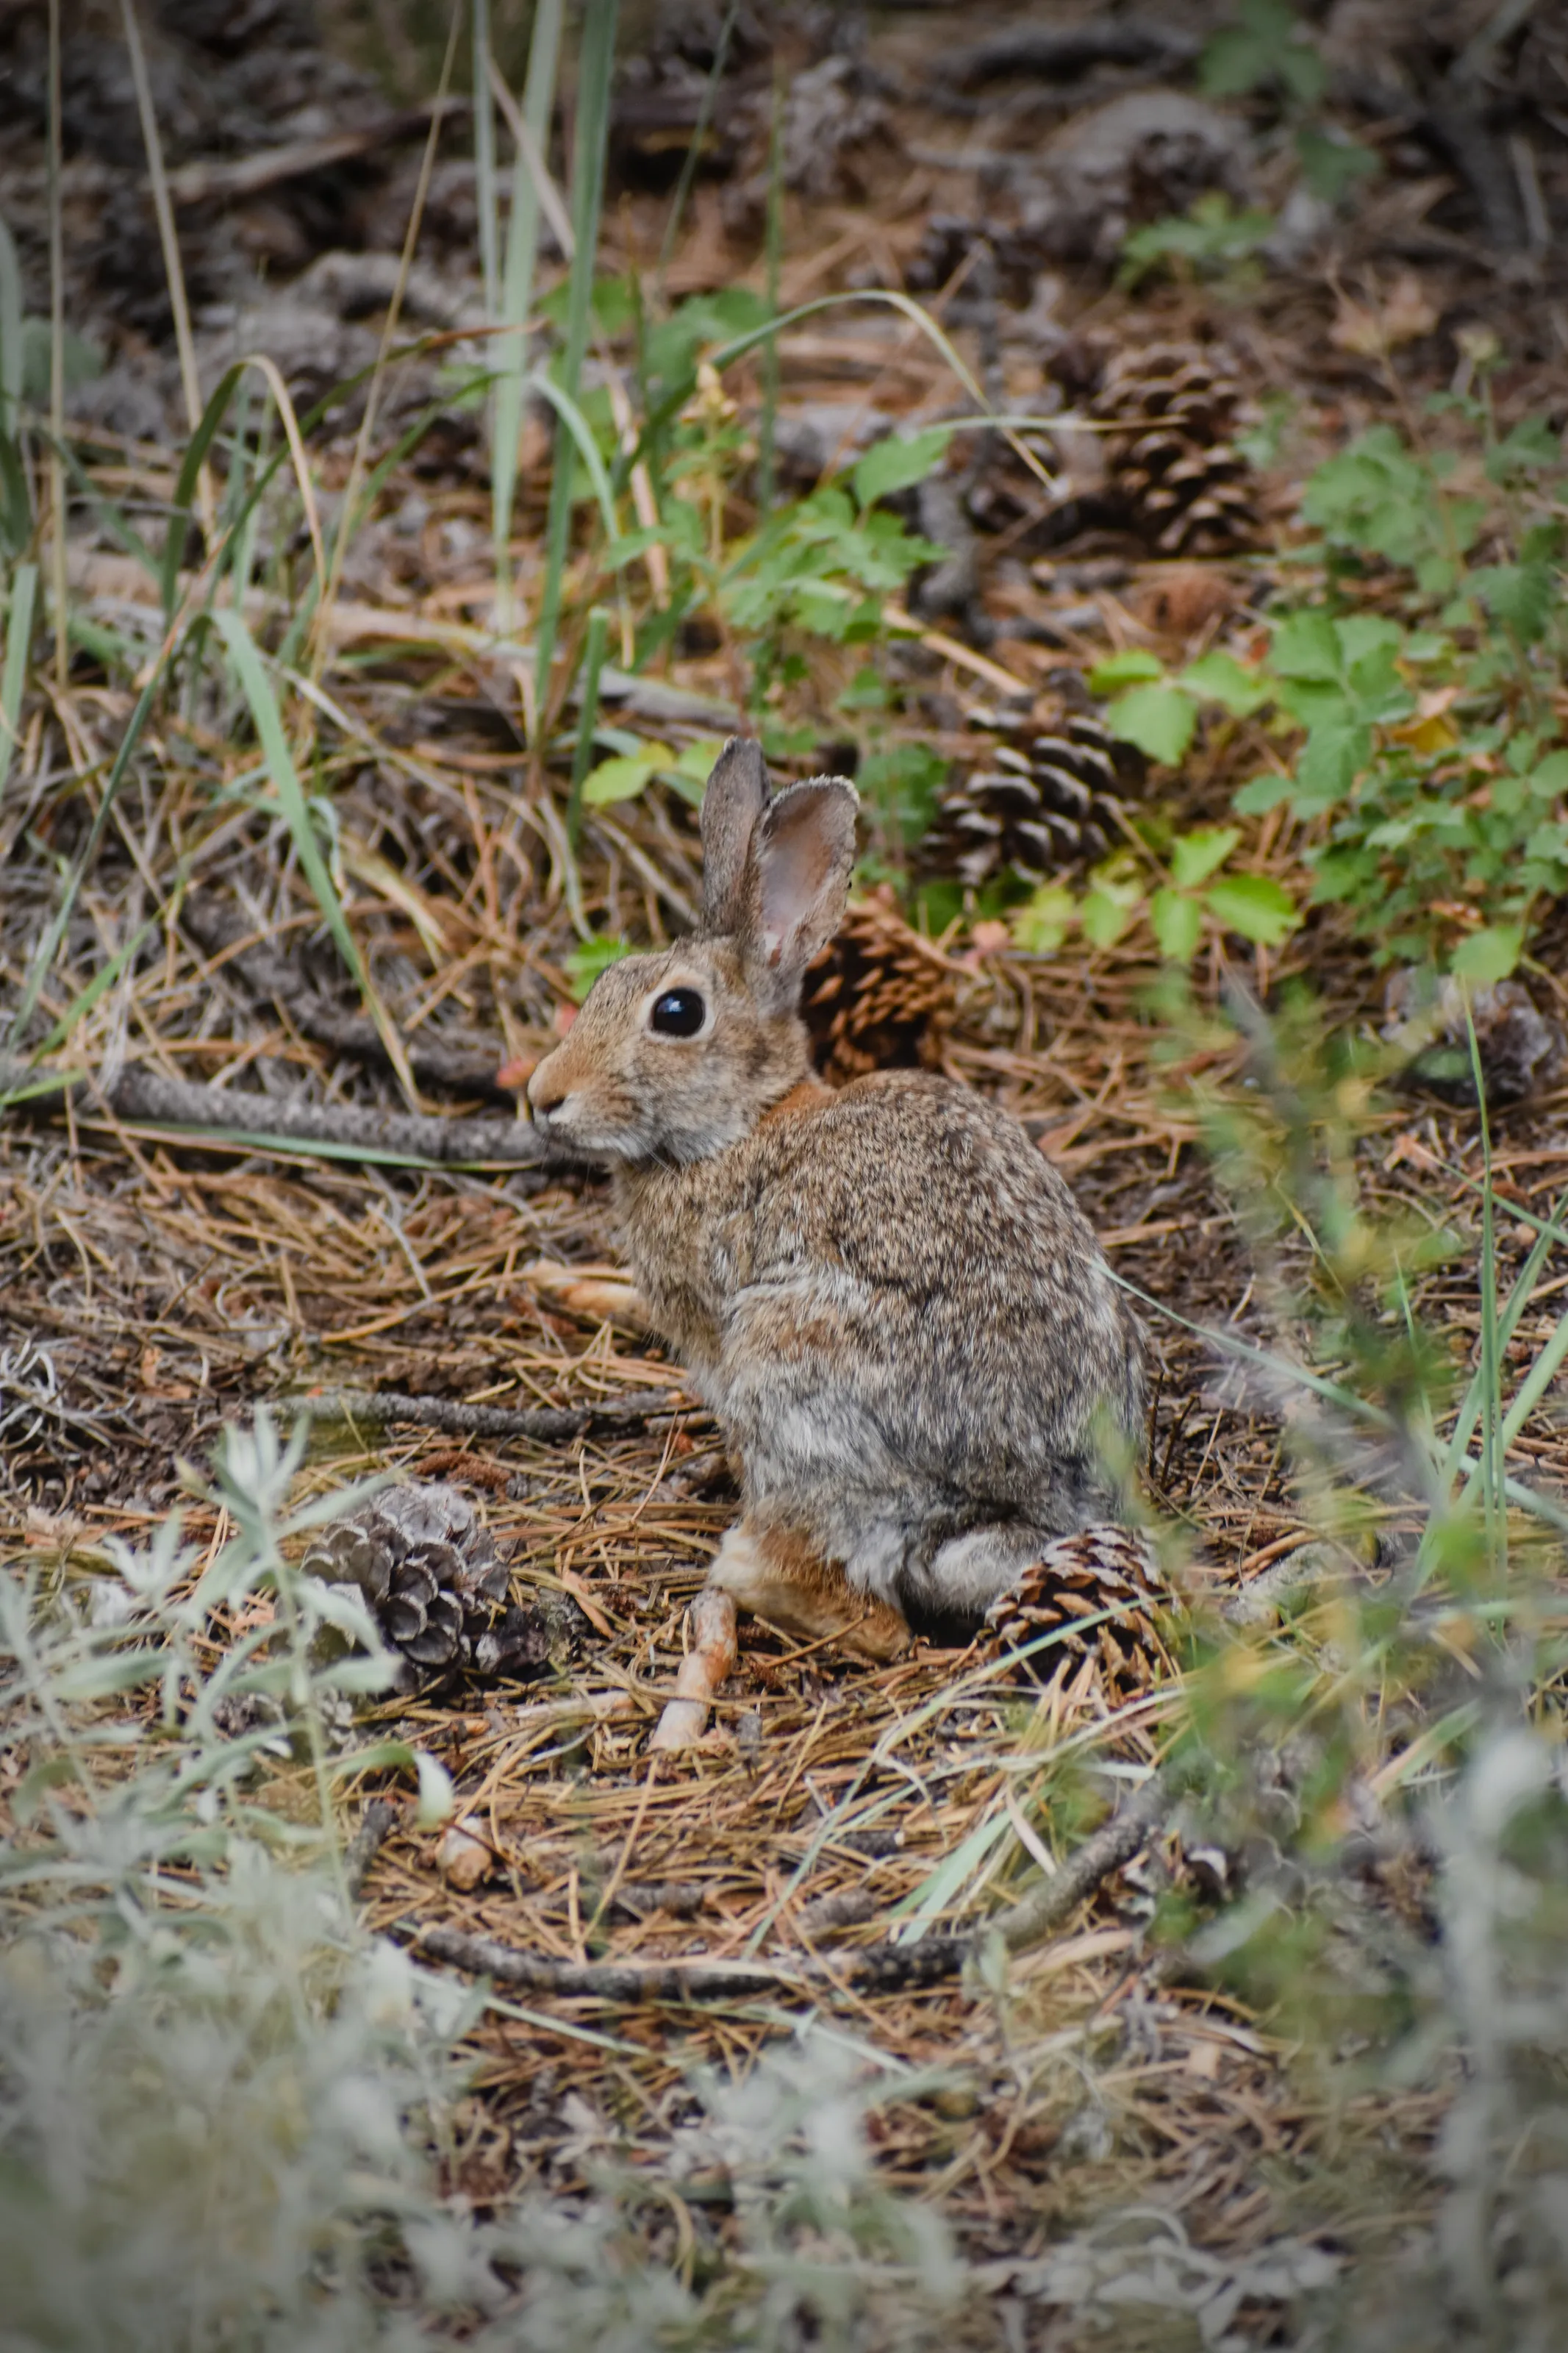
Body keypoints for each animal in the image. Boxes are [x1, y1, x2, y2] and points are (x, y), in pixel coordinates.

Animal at [527, 737, 1144, 1665]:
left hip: (788, 1366)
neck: (739, 1127)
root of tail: (1005, 1504)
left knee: (858, 1604)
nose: (542, 1096)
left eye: (676, 1011)